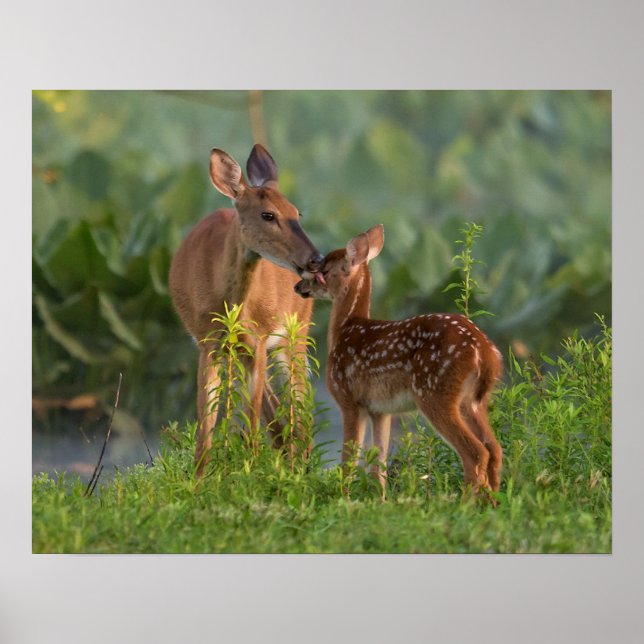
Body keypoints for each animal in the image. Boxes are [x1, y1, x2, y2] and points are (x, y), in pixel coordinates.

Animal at [169, 144, 325, 476]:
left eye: (297, 213)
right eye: (268, 214)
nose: (316, 259)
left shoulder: (260, 341)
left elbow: (251, 421)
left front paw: (252, 473)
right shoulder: (208, 344)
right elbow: (206, 427)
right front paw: (200, 480)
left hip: (296, 334)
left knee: (300, 402)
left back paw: (301, 466)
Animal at [294, 224, 503, 499]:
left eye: (323, 271)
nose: (298, 286)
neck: (346, 328)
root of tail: (485, 352)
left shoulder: (348, 398)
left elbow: (349, 459)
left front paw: (343, 496)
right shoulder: (380, 409)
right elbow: (378, 462)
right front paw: (379, 500)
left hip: (435, 392)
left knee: (476, 452)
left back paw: (465, 503)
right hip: (474, 401)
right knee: (495, 448)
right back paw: (493, 501)